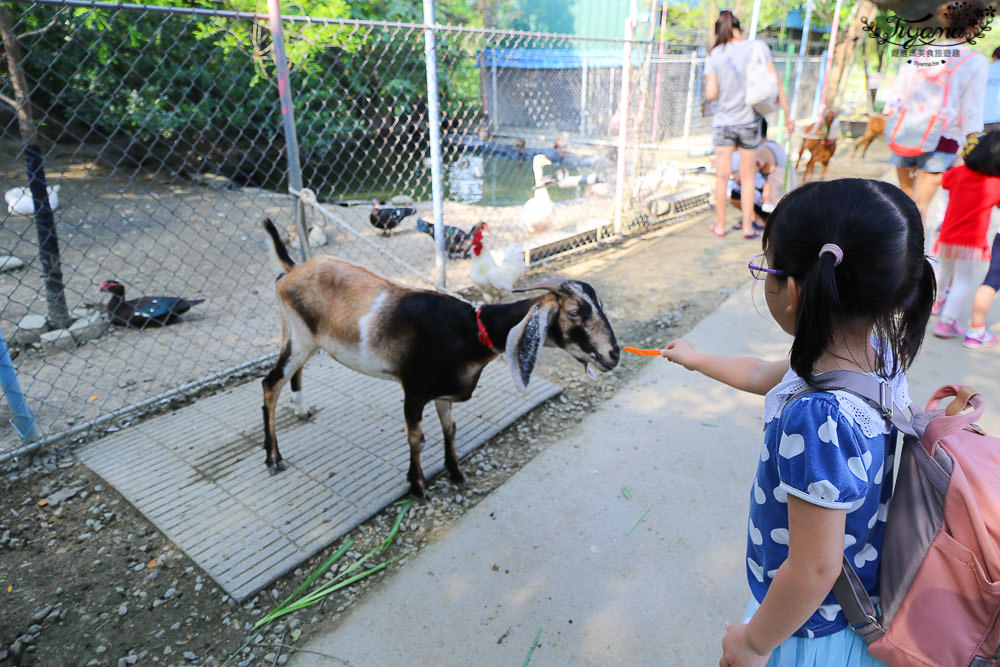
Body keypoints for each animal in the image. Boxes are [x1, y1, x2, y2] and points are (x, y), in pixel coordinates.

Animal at [258, 222, 616, 498]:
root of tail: (292, 269)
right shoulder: (413, 391)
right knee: (270, 383)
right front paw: (418, 485)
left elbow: (451, 429)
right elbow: (416, 438)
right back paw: (273, 458)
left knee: (293, 374)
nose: (613, 355)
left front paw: (455, 471)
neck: (469, 332)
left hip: (300, 336)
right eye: (574, 312)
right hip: (300, 337)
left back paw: (302, 410)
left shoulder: (444, 392)